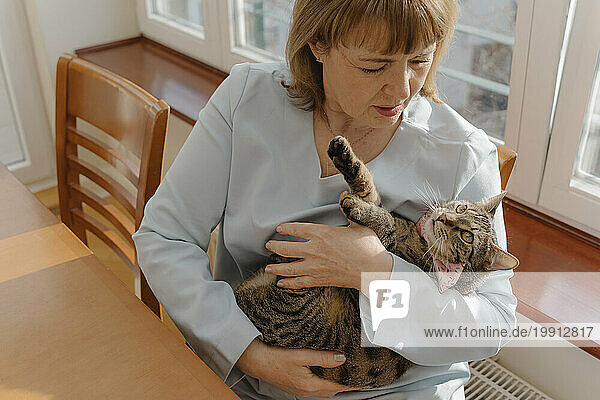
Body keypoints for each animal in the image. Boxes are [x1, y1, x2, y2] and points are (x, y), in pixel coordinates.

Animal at [232, 135, 516, 388]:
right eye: (461, 209)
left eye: (467, 236)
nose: (443, 217)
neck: (420, 240)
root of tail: (243, 297)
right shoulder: (379, 207)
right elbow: (369, 189)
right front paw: (345, 157)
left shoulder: (386, 250)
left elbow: (383, 220)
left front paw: (358, 207)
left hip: (299, 300)